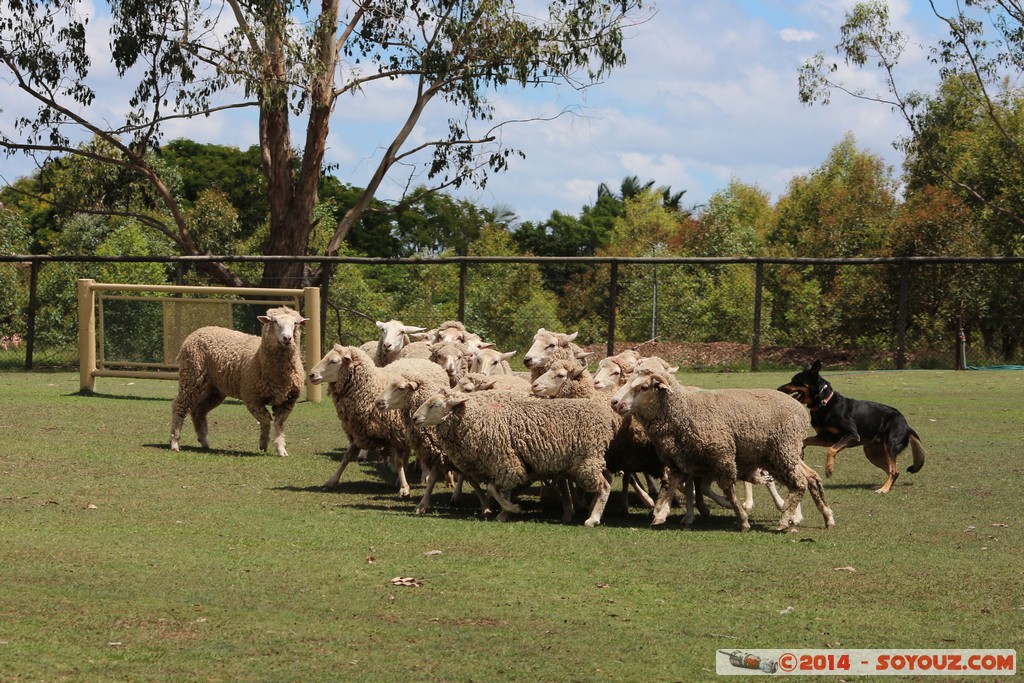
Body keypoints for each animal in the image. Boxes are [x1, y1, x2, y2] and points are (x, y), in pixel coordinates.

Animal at [169, 305, 307, 456]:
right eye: (275, 322)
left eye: (295, 323)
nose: (287, 338)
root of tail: (199, 330)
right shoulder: (251, 397)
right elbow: (265, 420)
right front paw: (264, 442)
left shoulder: (288, 400)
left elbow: (279, 424)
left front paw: (281, 449)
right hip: (191, 376)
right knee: (179, 406)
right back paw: (175, 442)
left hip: (213, 390)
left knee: (198, 411)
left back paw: (204, 441)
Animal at [307, 348, 444, 497]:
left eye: (334, 361)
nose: (311, 375)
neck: (370, 388)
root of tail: (426, 361)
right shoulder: (360, 430)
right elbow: (346, 457)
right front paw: (332, 481)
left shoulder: (394, 433)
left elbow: (398, 462)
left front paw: (404, 488)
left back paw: (425, 475)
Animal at [409, 387, 614, 528]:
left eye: (435, 405)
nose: (414, 418)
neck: (479, 419)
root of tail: (604, 418)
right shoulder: (505, 462)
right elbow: (498, 489)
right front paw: (505, 513)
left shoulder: (505, 460)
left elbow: (493, 489)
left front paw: (511, 509)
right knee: (604, 480)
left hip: (586, 459)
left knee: (604, 486)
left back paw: (593, 519)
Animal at [606, 368, 831, 532]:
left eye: (644, 387)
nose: (614, 403)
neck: (686, 411)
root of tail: (799, 408)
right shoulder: (682, 459)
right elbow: (673, 485)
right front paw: (660, 513)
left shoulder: (722, 455)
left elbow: (728, 490)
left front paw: (742, 519)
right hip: (782, 455)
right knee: (812, 478)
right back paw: (826, 515)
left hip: (783, 451)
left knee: (800, 483)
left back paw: (785, 519)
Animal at [774, 360, 929, 493]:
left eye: (796, 381)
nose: (779, 389)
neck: (824, 404)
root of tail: (906, 425)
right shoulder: (826, 438)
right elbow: (805, 440)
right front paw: (801, 450)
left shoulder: (851, 435)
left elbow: (831, 450)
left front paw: (829, 469)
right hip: (872, 452)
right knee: (892, 471)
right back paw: (883, 486)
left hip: (890, 445)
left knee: (894, 471)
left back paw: (884, 489)